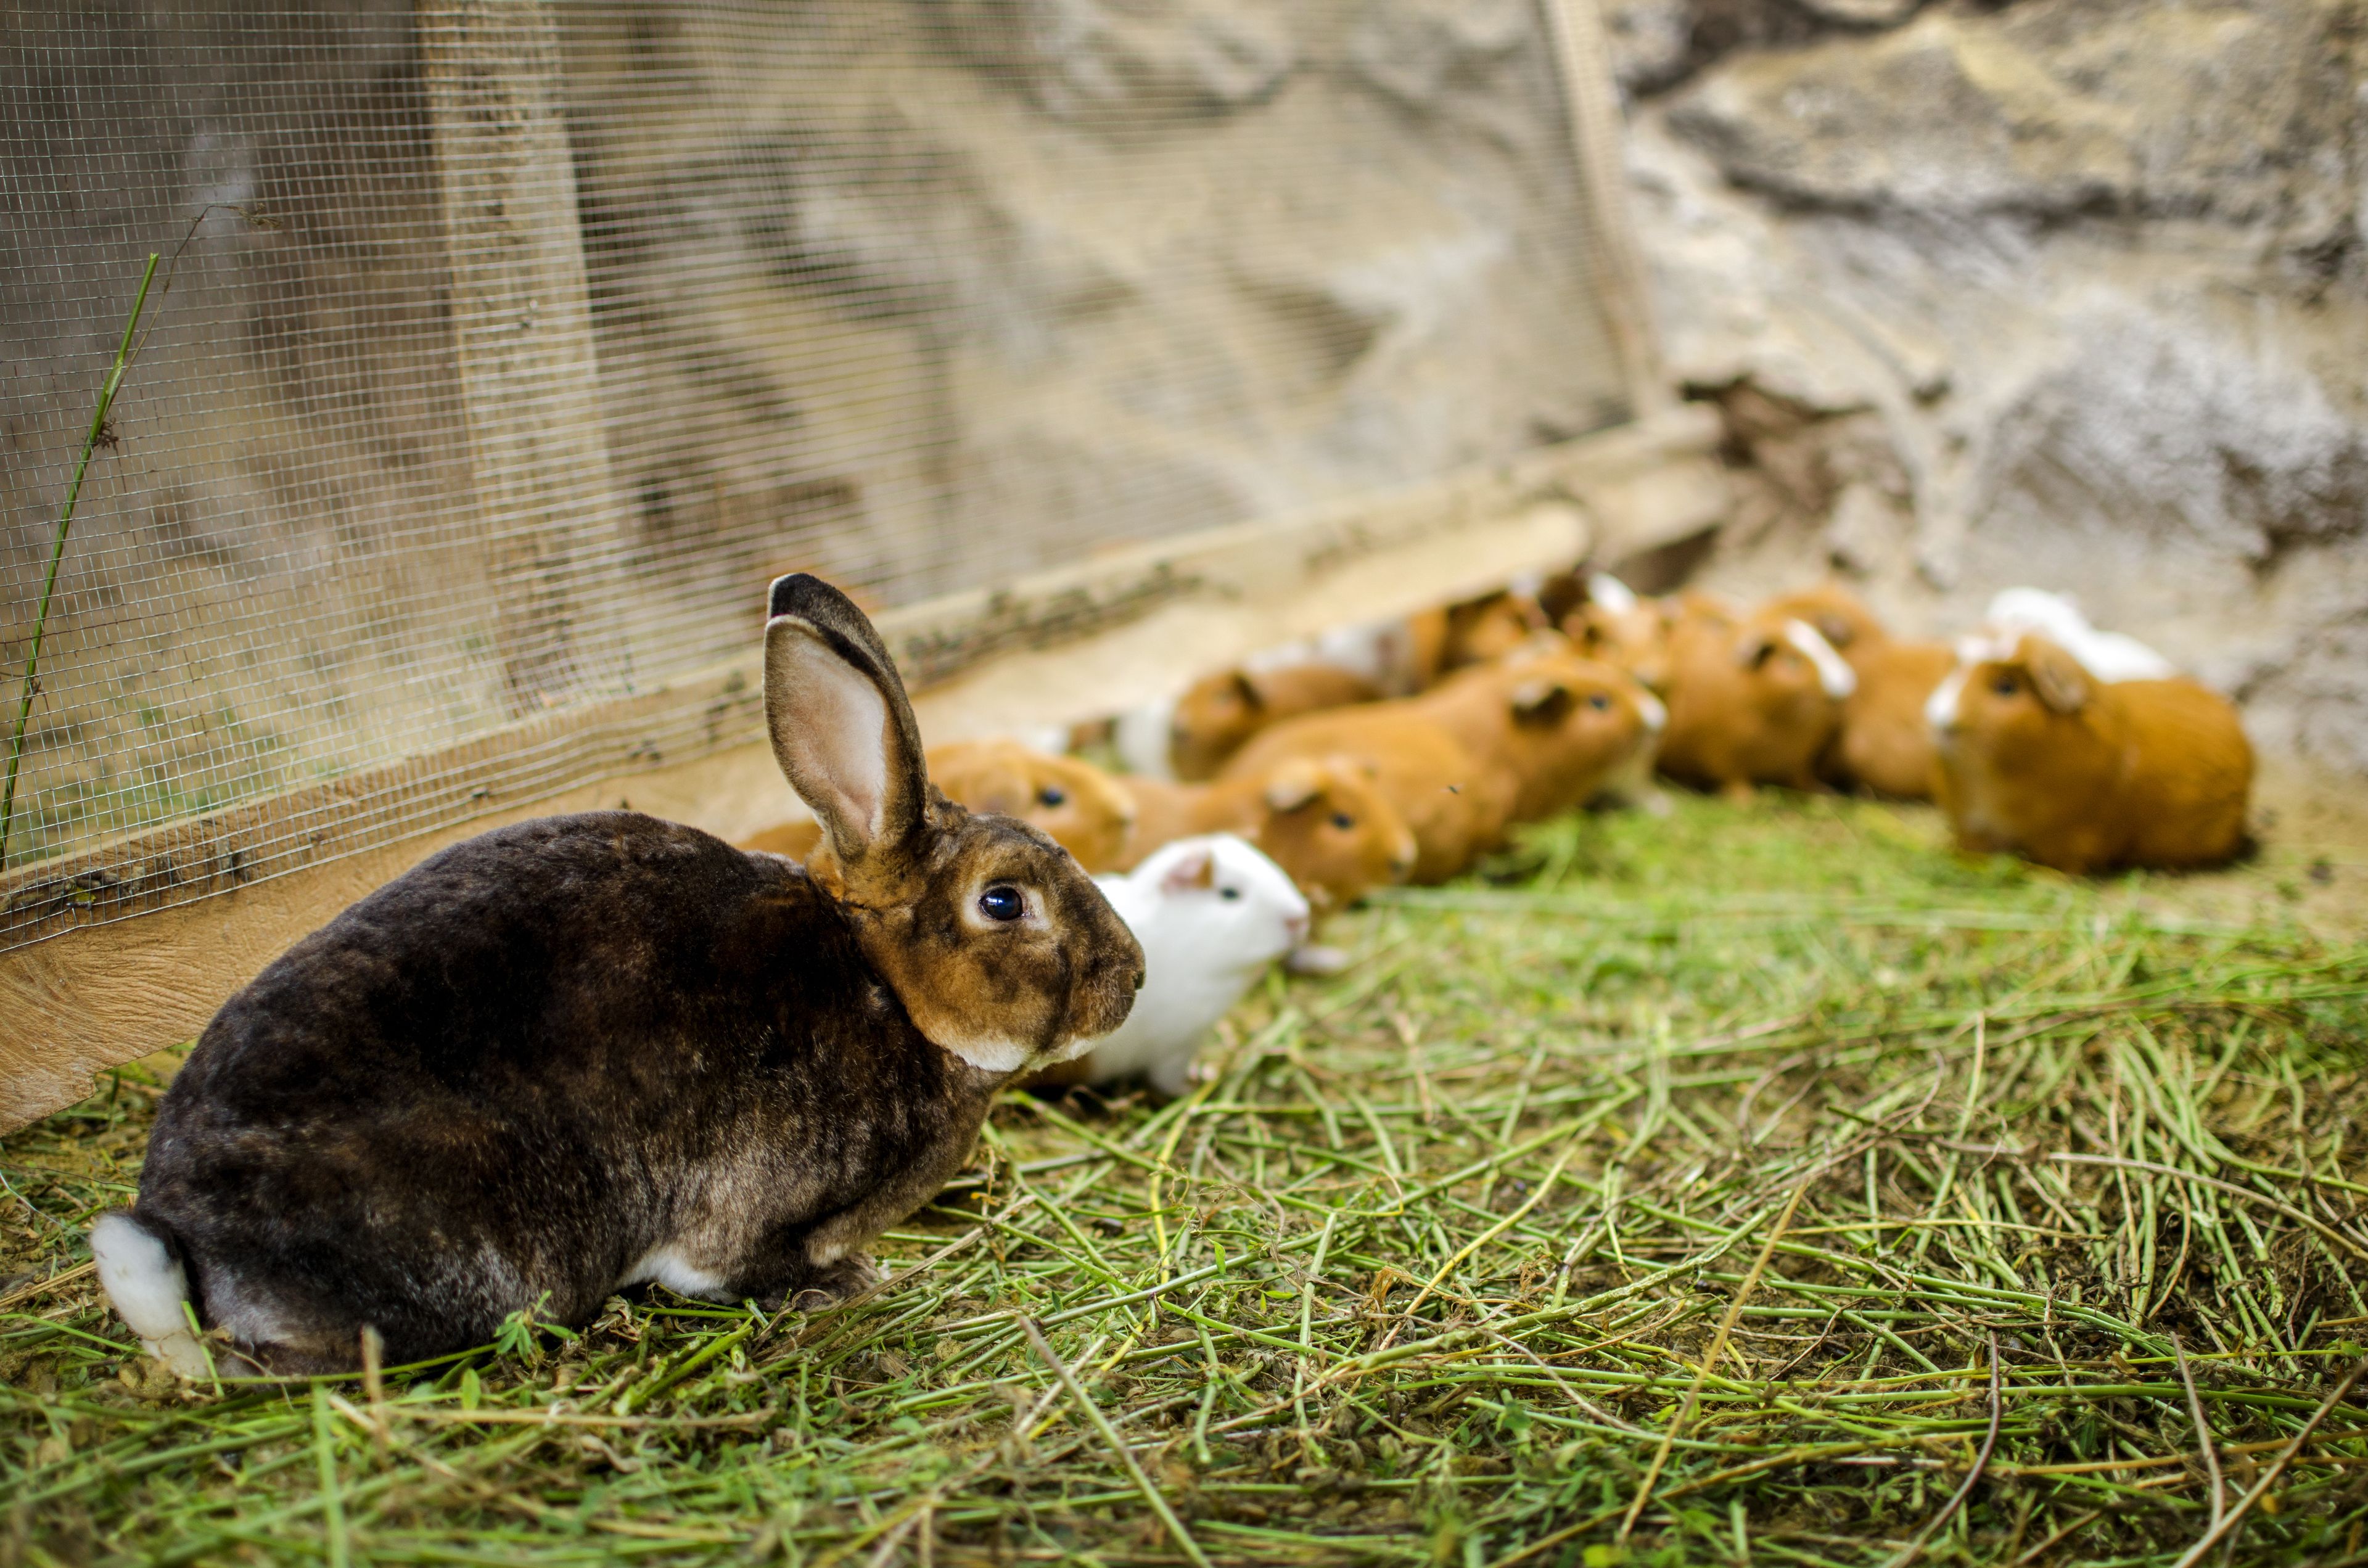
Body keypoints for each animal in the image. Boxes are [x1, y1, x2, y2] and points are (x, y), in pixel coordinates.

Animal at [1656, 612, 1856, 797]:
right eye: (1792, 661)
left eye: (1828, 647)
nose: (1844, 683)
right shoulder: (1725, 758)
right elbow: (1734, 780)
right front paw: (1748, 801)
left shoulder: (1799, 762)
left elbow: (1801, 778)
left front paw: (1826, 795)